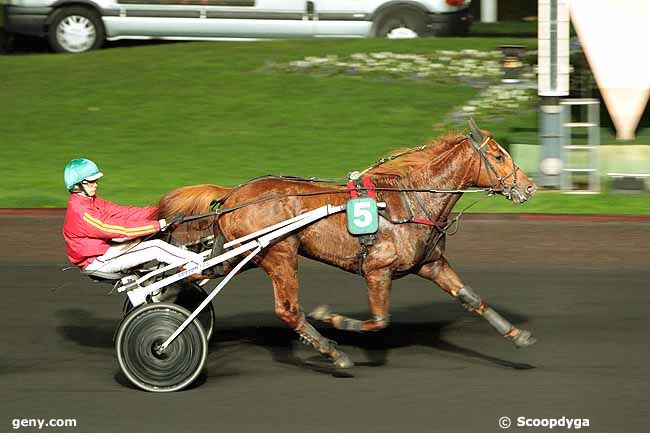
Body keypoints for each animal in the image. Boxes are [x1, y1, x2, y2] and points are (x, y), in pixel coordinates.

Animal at [157, 121, 536, 368]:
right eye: (499, 157)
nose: (529, 186)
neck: (411, 202)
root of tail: (233, 193)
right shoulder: (377, 269)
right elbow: (379, 321)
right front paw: (333, 319)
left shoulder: (431, 264)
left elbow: (471, 298)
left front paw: (517, 335)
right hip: (279, 254)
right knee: (288, 311)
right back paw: (332, 352)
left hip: (243, 255)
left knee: (190, 274)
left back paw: (166, 303)